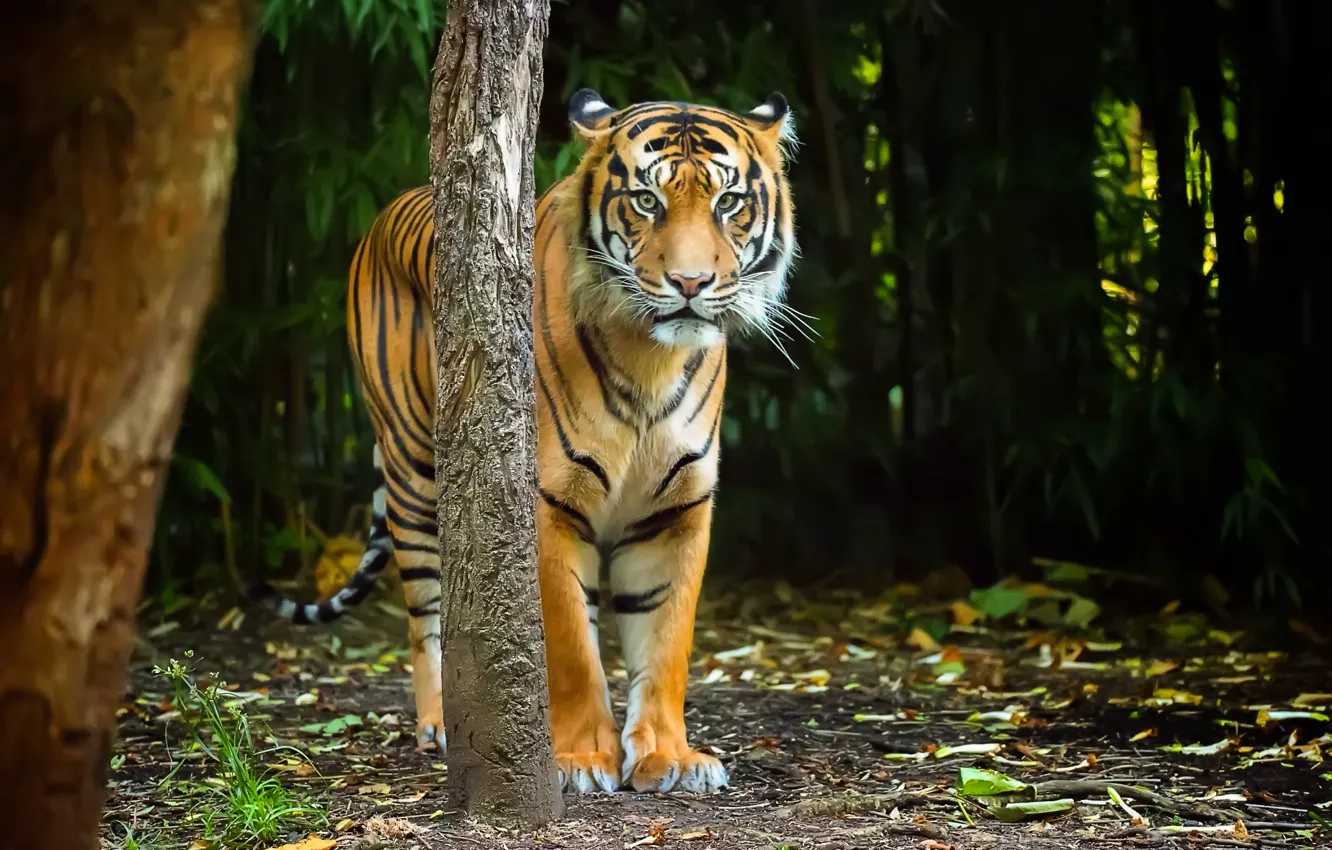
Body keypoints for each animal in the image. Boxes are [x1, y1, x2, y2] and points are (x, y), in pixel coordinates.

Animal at [250, 88, 798, 794]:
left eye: (728, 202)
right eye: (646, 200)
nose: (690, 284)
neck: (652, 360)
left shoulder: (676, 510)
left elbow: (667, 640)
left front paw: (668, 758)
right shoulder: (548, 503)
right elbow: (570, 645)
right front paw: (580, 761)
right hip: (413, 477)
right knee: (426, 617)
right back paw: (444, 723)